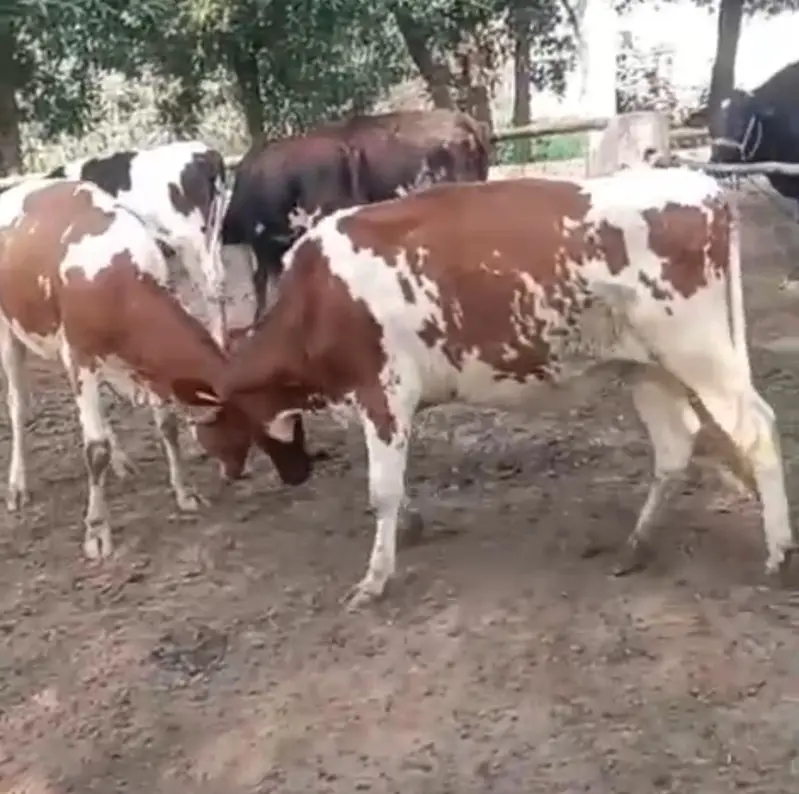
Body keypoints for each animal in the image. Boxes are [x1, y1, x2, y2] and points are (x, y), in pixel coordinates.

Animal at [0, 178, 310, 560]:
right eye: (255, 427)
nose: (301, 474)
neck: (116, 280)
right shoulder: (79, 356)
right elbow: (95, 449)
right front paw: (97, 529)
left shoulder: (143, 366)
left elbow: (167, 426)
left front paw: (185, 493)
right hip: (9, 333)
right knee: (18, 406)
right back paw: (17, 485)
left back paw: (121, 461)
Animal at [47, 141, 229, 345]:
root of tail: (207, 153)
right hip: (212, 233)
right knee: (218, 277)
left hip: (192, 240)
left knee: (208, 283)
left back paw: (217, 338)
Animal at [192, 167, 795, 611]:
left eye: (215, 434)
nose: (228, 475)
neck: (316, 301)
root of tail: (702, 185)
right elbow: (394, 483)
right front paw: (409, 527)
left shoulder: (383, 392)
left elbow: (381, 489)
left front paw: (375, 578)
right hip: (646, 366)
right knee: (676, 443)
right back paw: (636, 545)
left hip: (699, 350)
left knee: (756, 430)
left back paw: (779, 553)